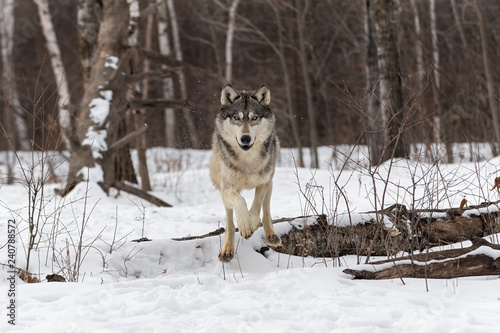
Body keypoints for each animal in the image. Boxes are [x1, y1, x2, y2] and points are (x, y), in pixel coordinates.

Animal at [210, 83, 282, 262]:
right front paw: (244, 224)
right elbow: (240, 201)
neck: (247, 160)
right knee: (229, 222)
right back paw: (227, 250)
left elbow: (256, 208)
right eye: (236, 118)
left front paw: (251, 224)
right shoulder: (227, 188)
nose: (245, 139)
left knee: (266, 208)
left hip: (270, 181)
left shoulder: (264, 182)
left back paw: (271, 235)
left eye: (254, 118)